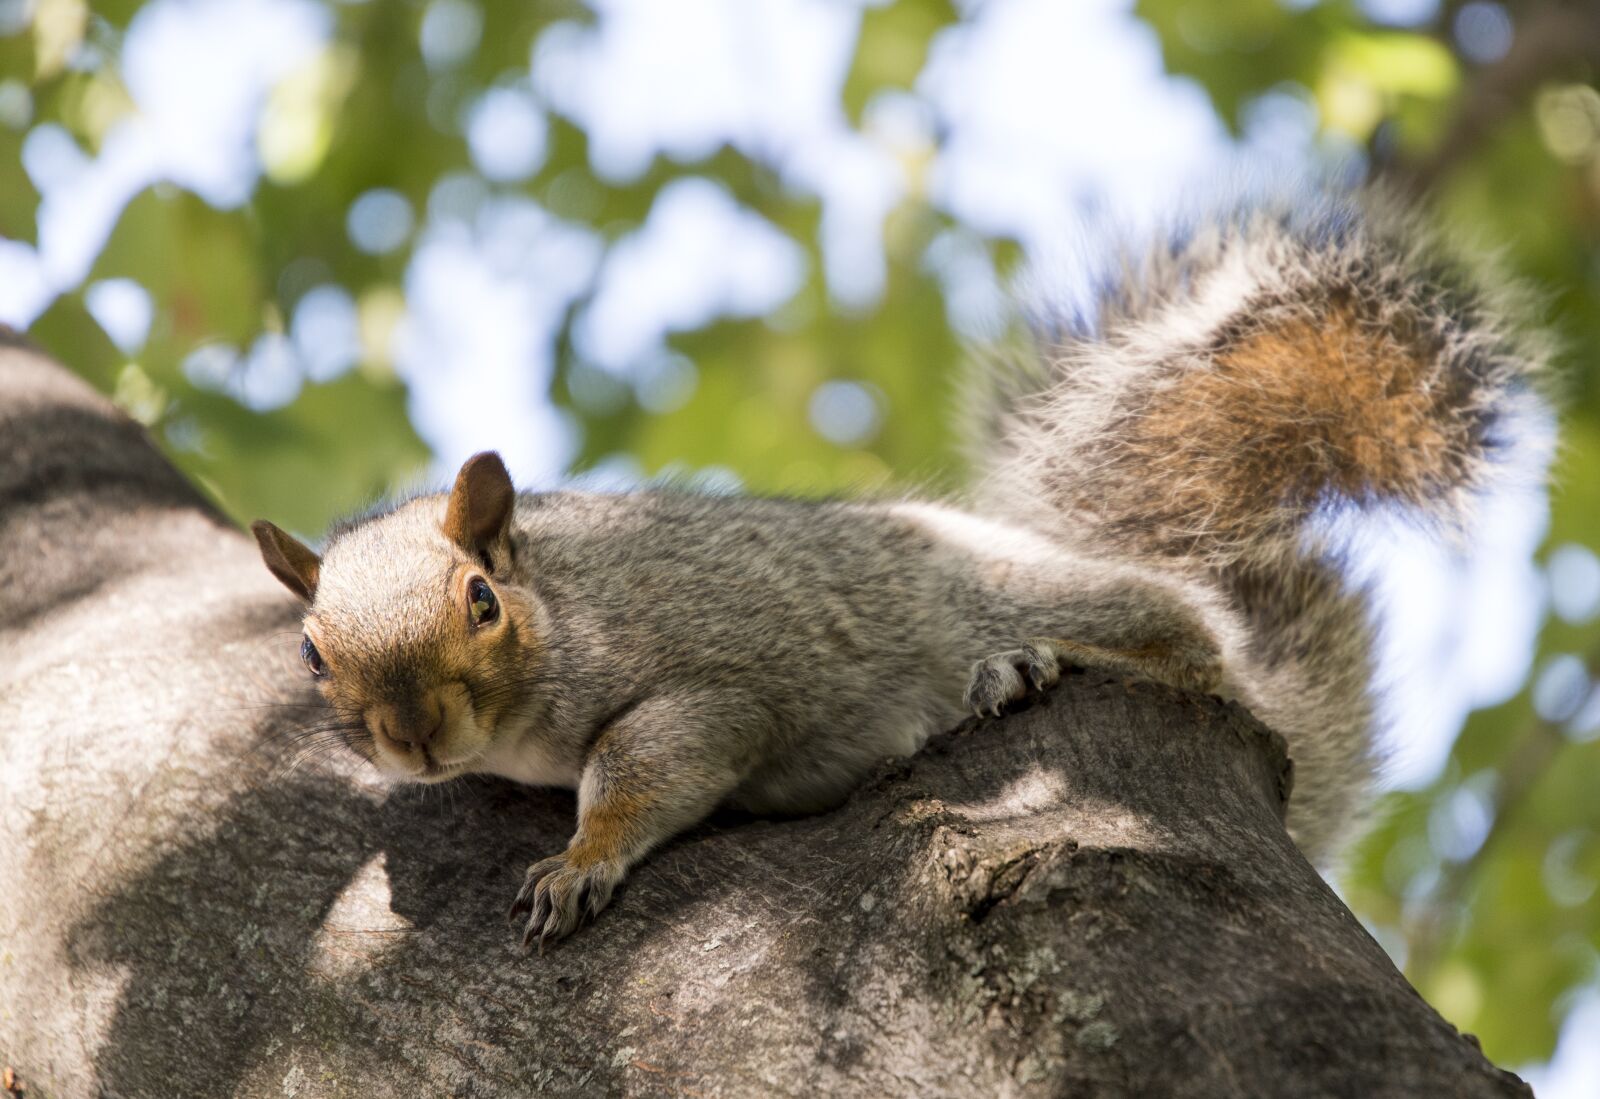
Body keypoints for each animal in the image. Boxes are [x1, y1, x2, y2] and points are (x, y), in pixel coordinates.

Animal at [251, 190, 1550, 949]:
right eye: (311, 651)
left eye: (479, 602)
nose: (414, 737)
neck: (562, 607)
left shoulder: (709, 674)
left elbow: (652, 763)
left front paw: (579, 861)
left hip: (1049, 597)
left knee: (1182, 640)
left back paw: (1031, 667)